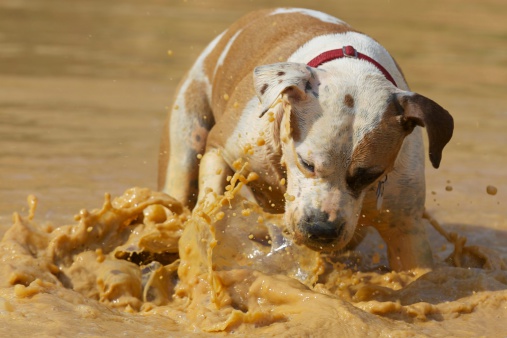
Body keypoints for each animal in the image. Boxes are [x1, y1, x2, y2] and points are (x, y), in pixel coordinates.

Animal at [158, 8, 452, 272]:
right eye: (306, 163)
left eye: (370, 175)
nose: (322, 229)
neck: (352, 68)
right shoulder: (221, 148)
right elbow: (212, 193)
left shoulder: (406, 228)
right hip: (187, 132)